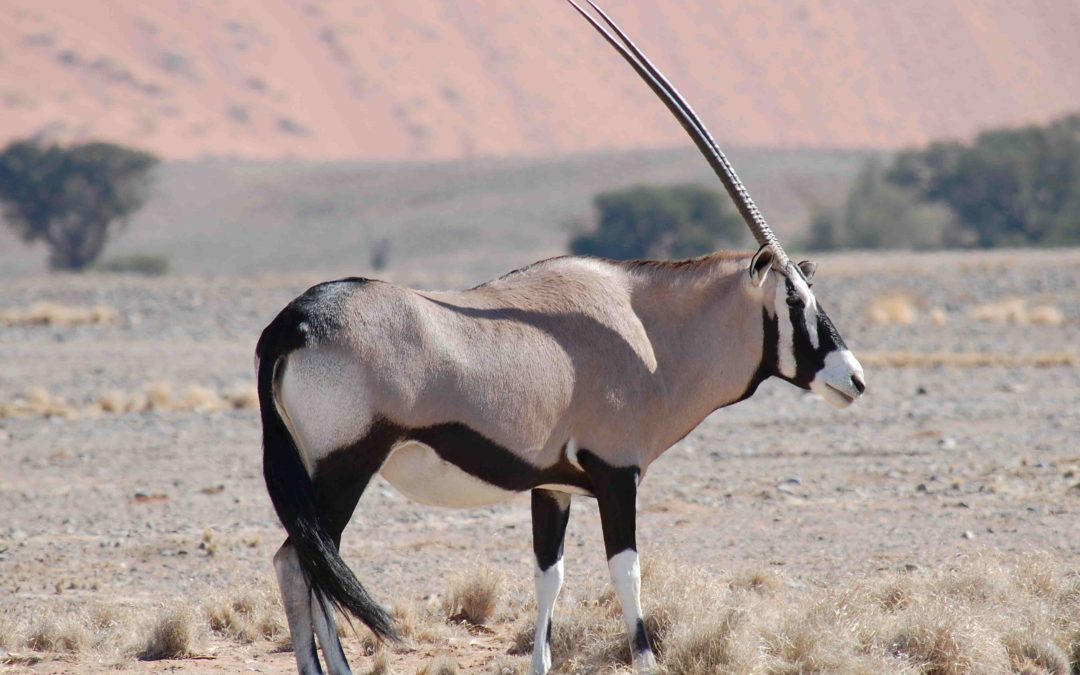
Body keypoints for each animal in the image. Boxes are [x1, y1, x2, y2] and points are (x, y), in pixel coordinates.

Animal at [256, 2, 866, 673]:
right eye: (795, 300)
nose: (854, 379)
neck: (646, 332)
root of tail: (297, 320)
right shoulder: (616, 475)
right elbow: (627, 574)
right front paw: (647, 660)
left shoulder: (552, 487)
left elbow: (550, 577)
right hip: (343, 468)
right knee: (306, 562)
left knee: (299, 563)